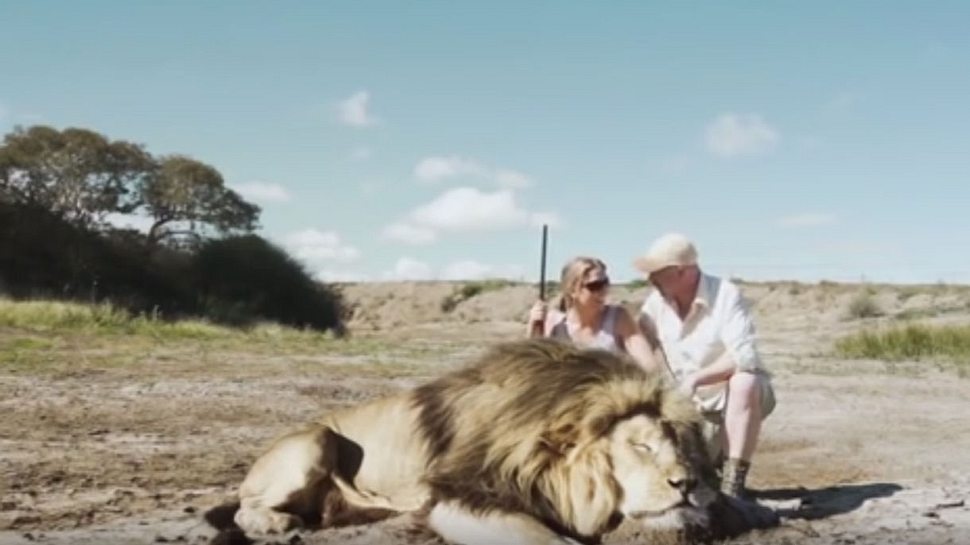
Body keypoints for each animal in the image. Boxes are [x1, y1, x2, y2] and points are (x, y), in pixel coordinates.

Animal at [219, 338, 720, 540]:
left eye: (678, 446)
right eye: (640, 446)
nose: (688, 484)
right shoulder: (457, 494)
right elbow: (550, 540)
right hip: (316, 440)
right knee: (243, 506)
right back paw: (276, 523)